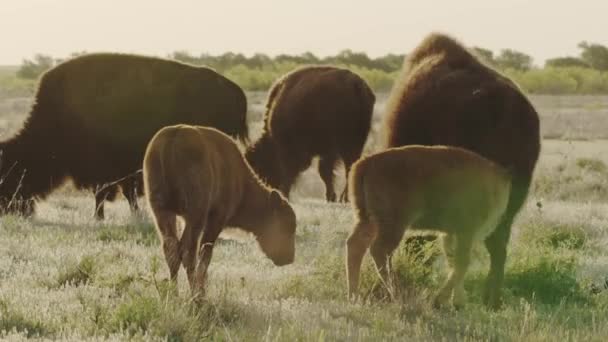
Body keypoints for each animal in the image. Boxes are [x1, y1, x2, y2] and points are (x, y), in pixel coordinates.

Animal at [0, 53, 249, 219]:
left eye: (12, 171)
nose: (7, 209)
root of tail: (234, 90)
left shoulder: (108, 169)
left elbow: (107, 192)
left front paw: (100, 217)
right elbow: (122, 193)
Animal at [142, 124, 294, 296]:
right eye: (287, 225)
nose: (289, 258)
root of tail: (174, 136)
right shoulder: (216, 219)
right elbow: (205, 255)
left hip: (162, 211)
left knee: (172, 251)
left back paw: (173, 294)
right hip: (195, 216)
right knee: (188, 252)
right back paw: (196, 295)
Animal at [245, 65, 372, 202]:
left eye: (260, 167)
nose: (269, 189)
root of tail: (356, 85)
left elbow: (290, 171)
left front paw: (285, 194)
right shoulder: (327, 151)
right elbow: (324, 172)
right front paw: (330, 197)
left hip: (346, 143)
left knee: (349, 165)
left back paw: (345, 197)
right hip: (354, 142)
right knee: (352, 165)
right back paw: (345, 197)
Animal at [344, 144, 510, 308]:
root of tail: (364, 163)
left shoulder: (450, 234)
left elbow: (453, 262)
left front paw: (457, 302)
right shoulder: (466, 231)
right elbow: (462, 263)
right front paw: (440, 300)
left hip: (368, 219)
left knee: (355, 244)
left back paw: (353, 296)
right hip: (394, 224)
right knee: (379, 250)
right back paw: (398, 294)